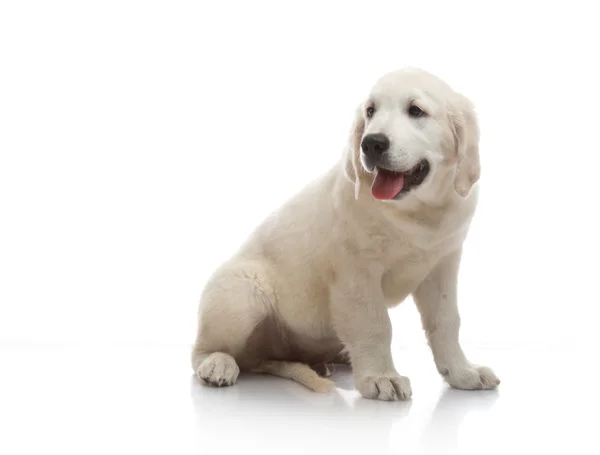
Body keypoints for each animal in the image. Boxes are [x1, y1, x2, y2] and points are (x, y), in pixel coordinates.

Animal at [191, 66, 496, 400]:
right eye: (370, 111)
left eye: (416, 111)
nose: (371, 143)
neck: (416, 213)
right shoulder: (356, 273)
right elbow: (375, 324)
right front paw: (381, 377)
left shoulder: (442, 264)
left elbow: (446, 320)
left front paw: (462, 372)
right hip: (243, 293)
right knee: (204, 351)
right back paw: (217, 364)